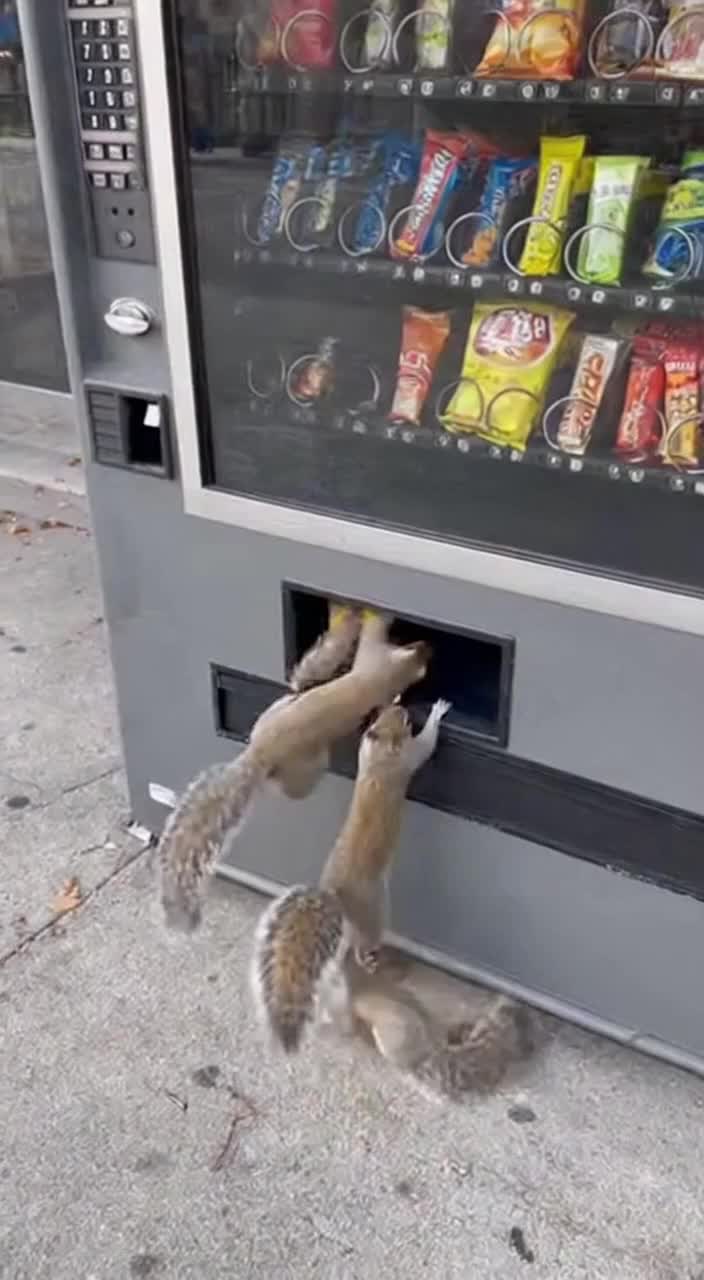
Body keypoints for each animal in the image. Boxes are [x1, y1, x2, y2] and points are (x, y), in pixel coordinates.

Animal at [160, 611, 431, 933]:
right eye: (423, 657)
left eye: (412, 641)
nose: (429, 647)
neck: (388, 670)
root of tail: (259, 752)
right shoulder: (379, 671)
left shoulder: (375, 656)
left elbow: (371, 637)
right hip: (310, 767)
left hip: (276, 710)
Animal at [250, 698, 451, 1052]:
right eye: (403, 723)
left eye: (389, 714)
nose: (403, 708)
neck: (380, 754)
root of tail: (338, 898)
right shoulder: (407, 758)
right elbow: (426, 746)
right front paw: (438, 713)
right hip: (375, 908)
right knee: (365, 942)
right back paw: (370, 959)